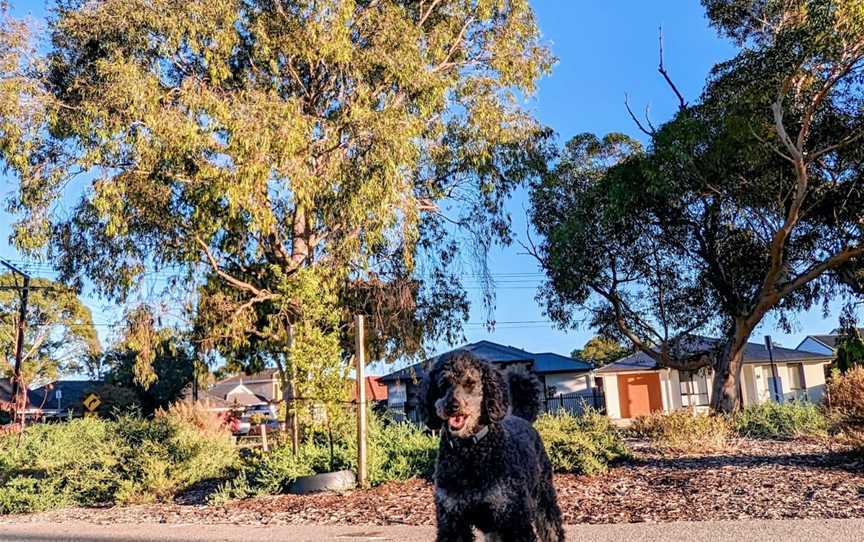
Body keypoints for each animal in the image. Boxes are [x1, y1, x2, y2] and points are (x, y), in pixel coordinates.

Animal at [420, 350, 568, 540]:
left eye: (470, 383)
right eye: (443, 384)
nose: (452, 406)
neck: (470, 451)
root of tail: (522, 418)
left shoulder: (514, 519)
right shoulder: (452, 520)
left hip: (543, 496)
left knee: (552, 528)